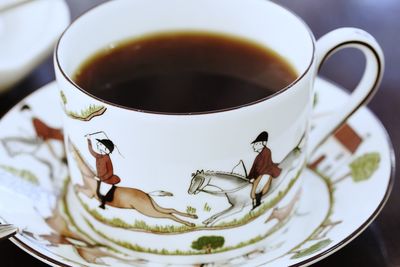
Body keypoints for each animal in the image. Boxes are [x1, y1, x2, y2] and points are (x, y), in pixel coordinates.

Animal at [68, 140, 198, 228]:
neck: (89, 177)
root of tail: (146, 193)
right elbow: (78, 186)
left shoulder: (90, 193)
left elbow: (78, 188)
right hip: (152, 206)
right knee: (170, 210)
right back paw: (192, 218)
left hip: (147, 210)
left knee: (167, 215)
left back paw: (189, 223)